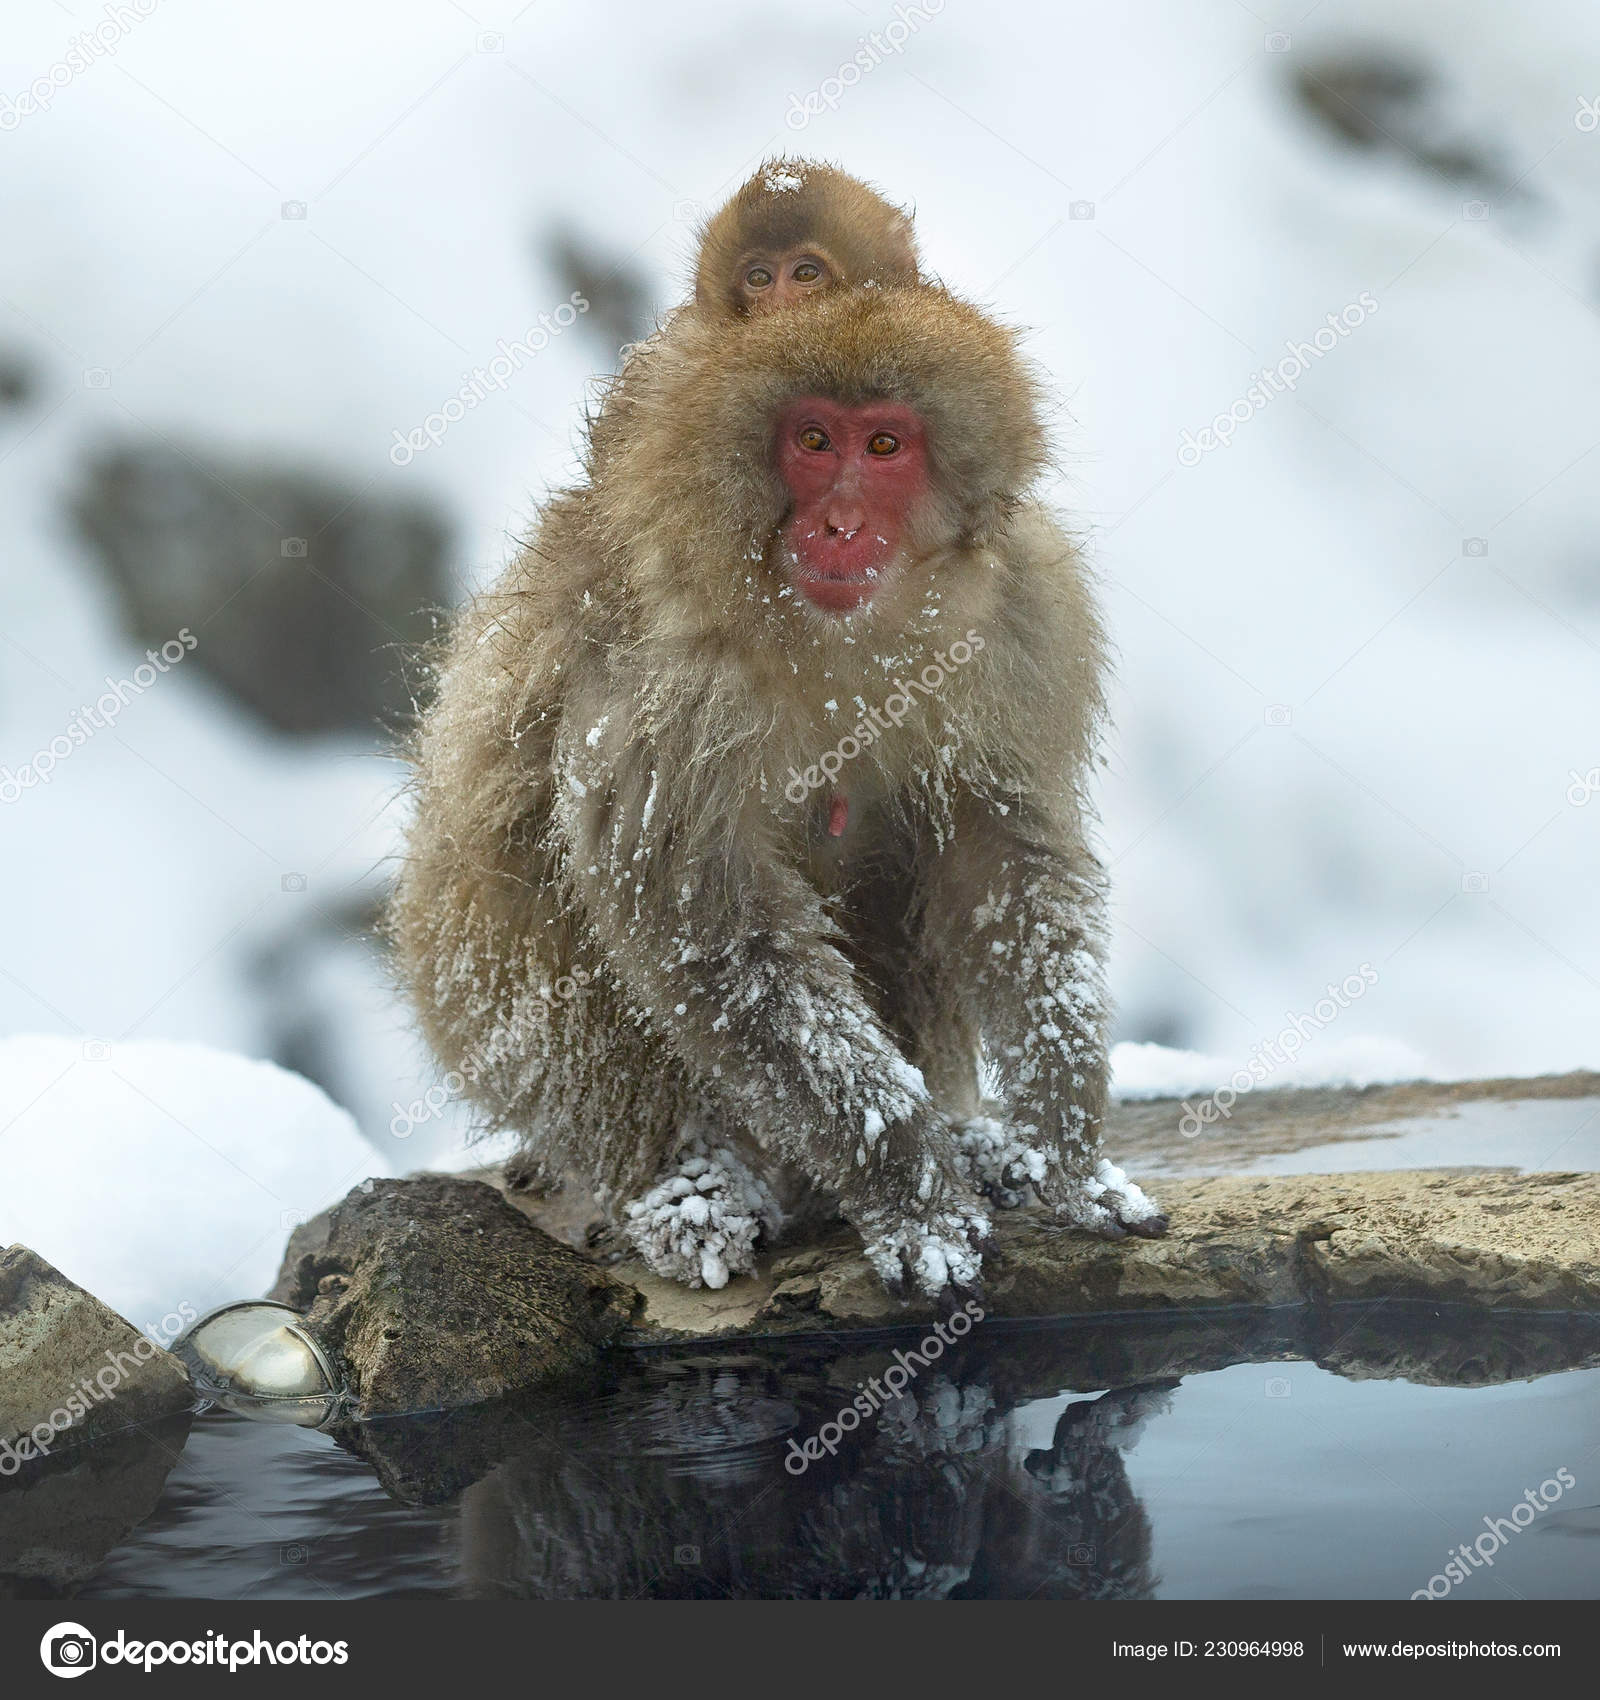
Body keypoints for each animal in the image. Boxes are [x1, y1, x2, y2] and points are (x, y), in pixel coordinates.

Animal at [387, 289, 1163, 1298]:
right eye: (813, 441)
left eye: (884, 446)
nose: (840, 525)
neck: (835, 636)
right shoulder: (660, 682)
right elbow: (715, 935)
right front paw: (912, 1197)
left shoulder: (1027, 616)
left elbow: (1004, 860)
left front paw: (1066, 1155)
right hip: (493, 1030)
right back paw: (696, 1188)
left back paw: (967, 1142)